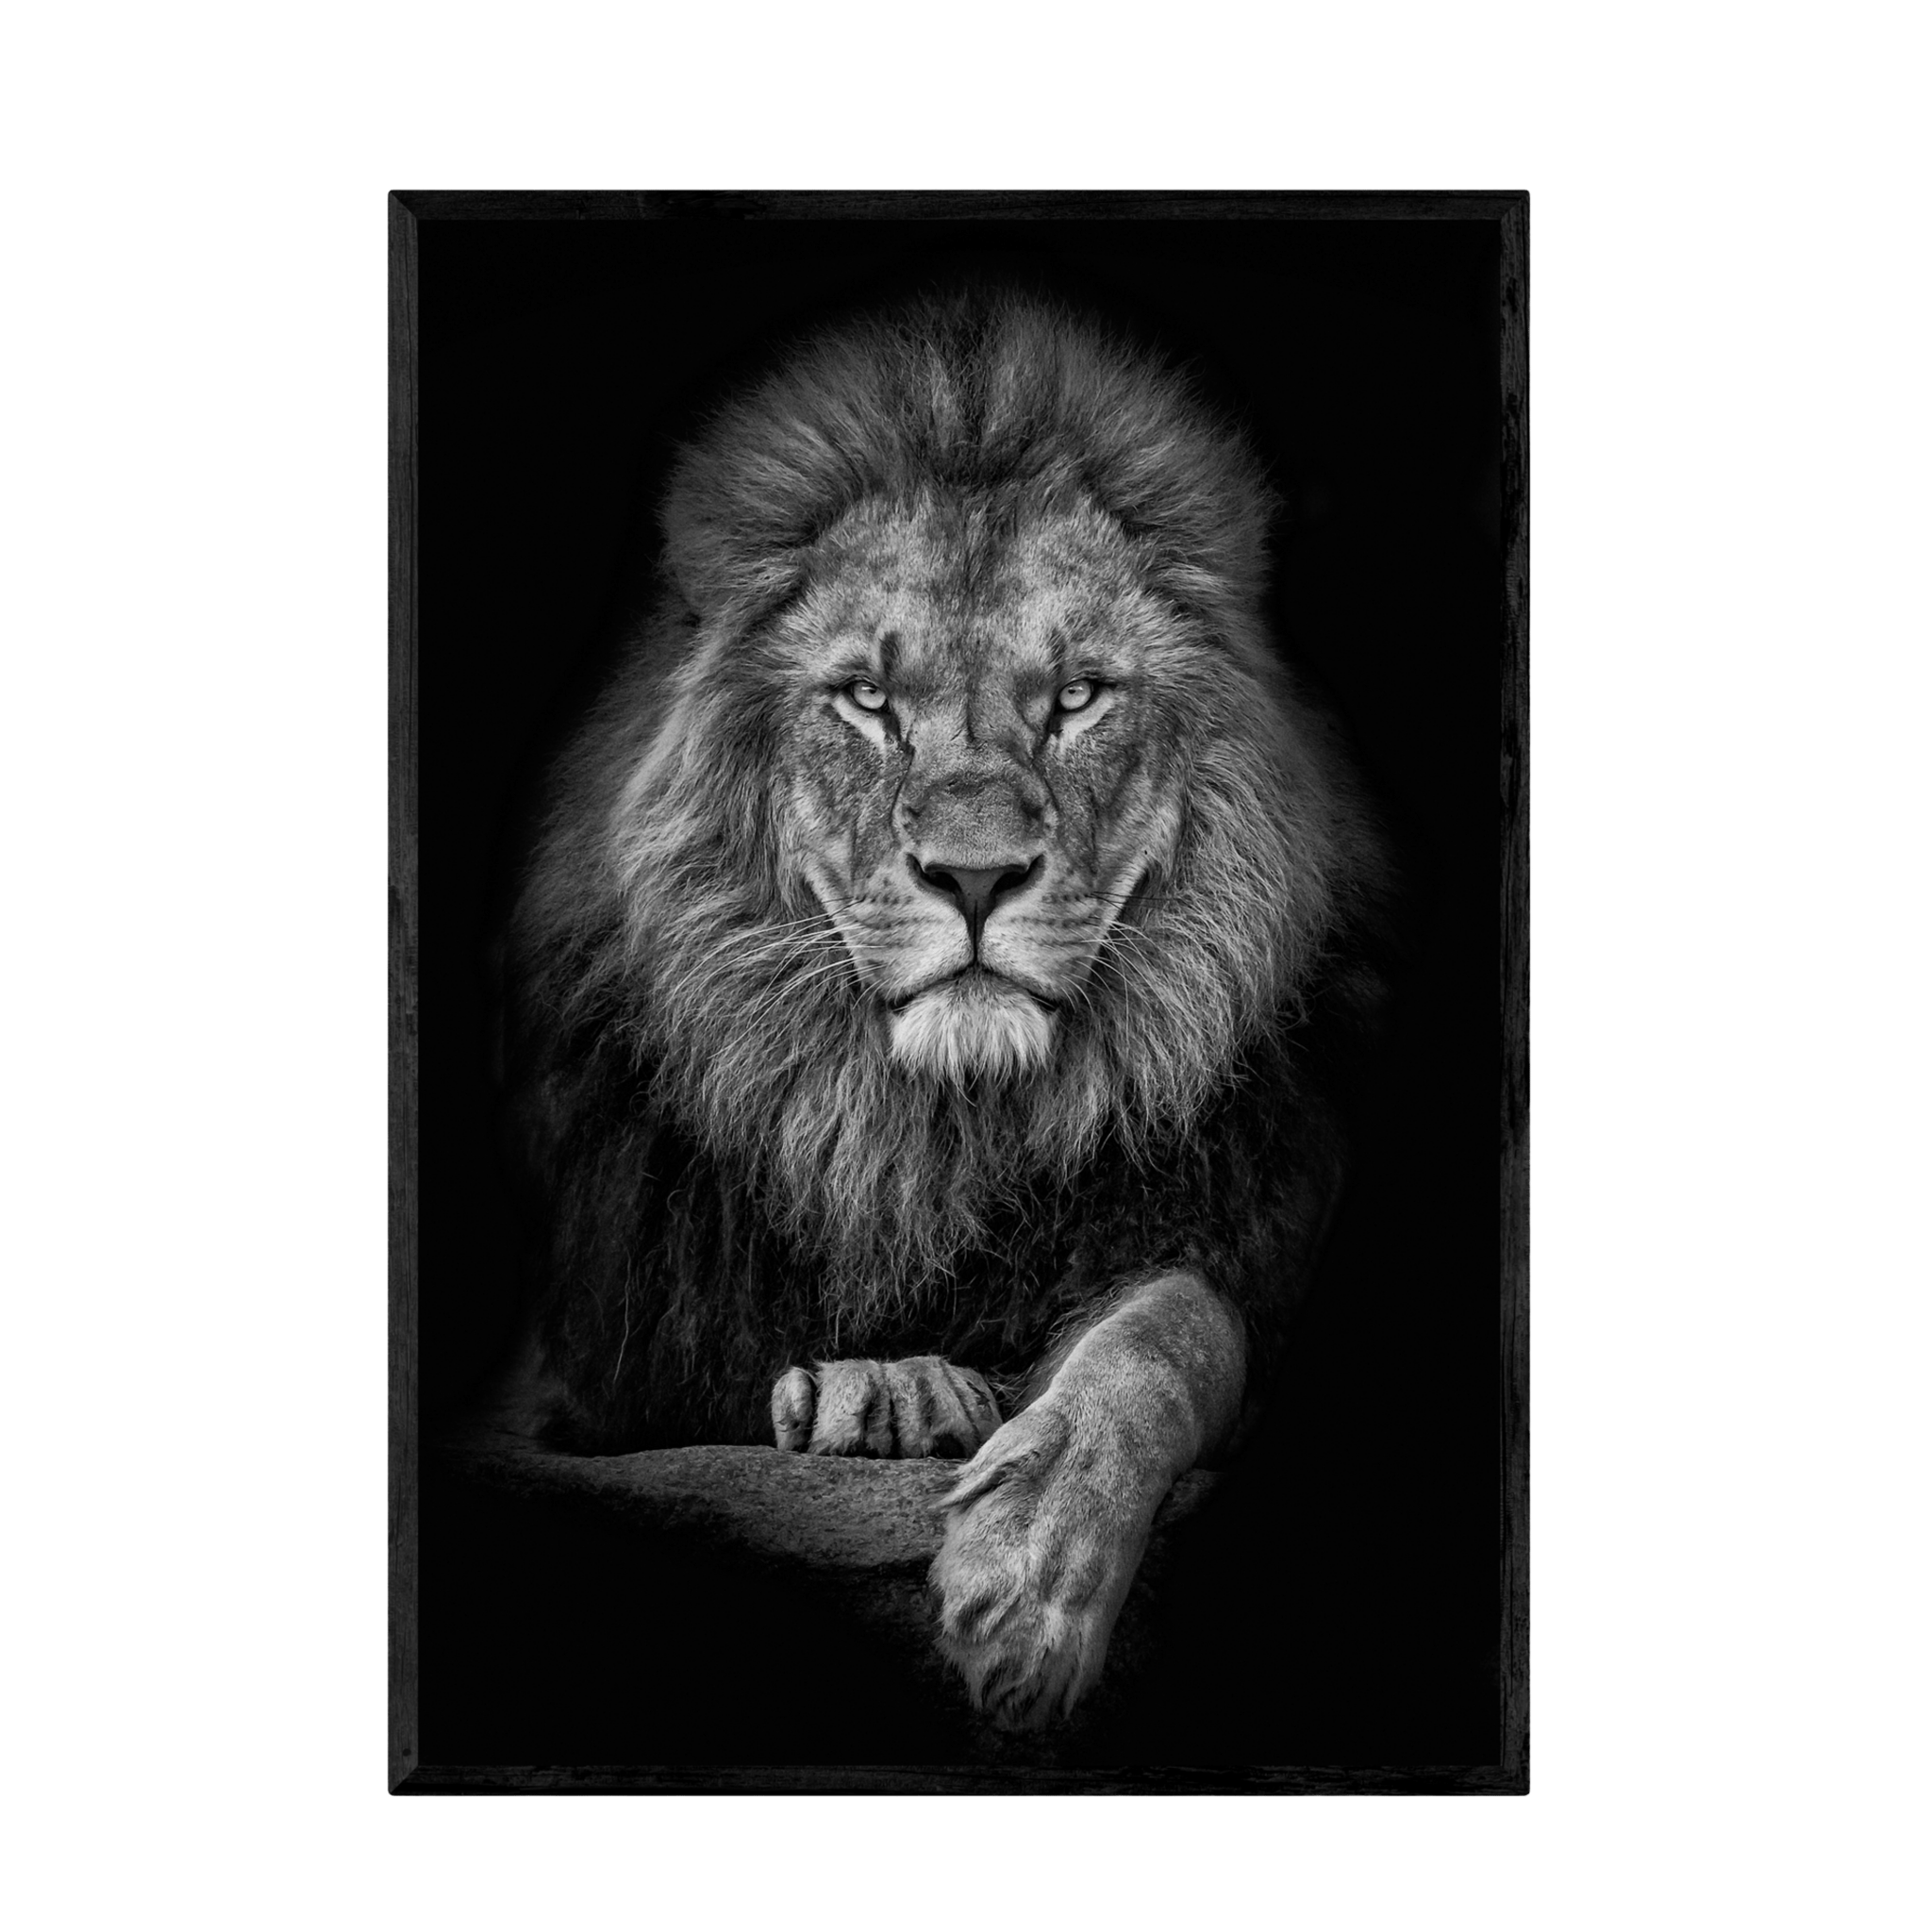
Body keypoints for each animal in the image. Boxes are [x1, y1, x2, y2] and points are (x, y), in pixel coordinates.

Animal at [494, 289, 1398, 1730]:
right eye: (869, 700)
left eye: (1076, 695)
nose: (974, 876)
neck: (931, 1135)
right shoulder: (591, 1361)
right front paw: (889, 1389)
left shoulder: (1239, 1238)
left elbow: (1169, 1330)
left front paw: (1030, 1579)